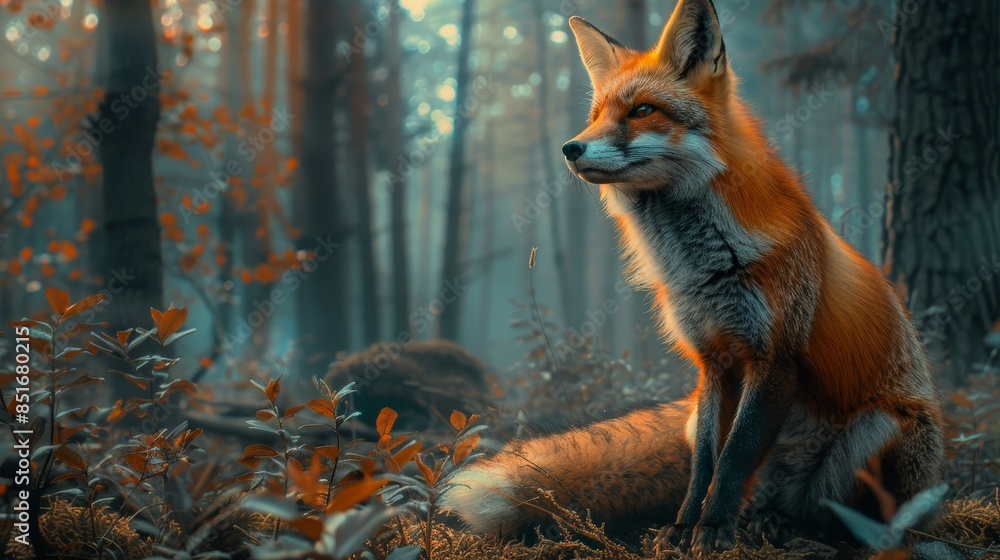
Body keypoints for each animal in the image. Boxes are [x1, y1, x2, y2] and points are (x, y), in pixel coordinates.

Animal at [440, 0, 946, 555]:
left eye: (642, 111)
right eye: (596, 117)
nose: (570, 148)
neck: (705, 267)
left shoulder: (775, 358)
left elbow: (734, 456)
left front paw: (713, 530)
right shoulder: (712, 361)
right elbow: (706, 461)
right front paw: (685, 528)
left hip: (879, 428)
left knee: (841, 514)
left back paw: (802, 530)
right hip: (696, 421)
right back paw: (764, 521)